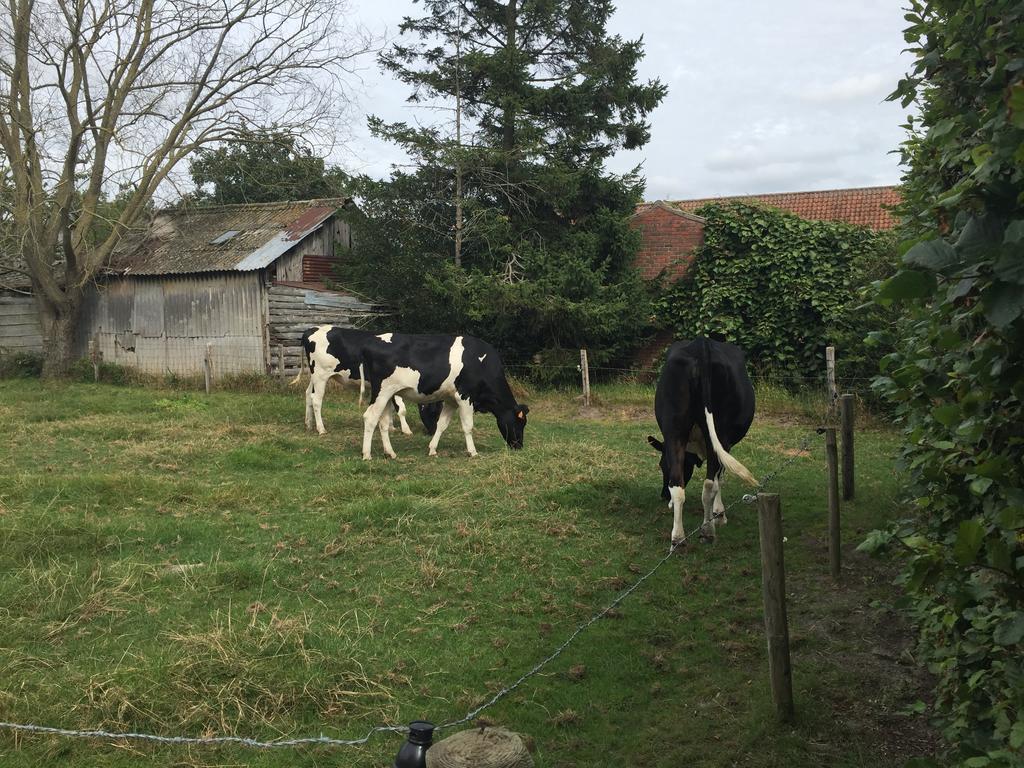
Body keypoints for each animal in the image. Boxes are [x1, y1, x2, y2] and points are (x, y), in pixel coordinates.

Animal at [356, 333, 528, 460]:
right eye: (520, 422)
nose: (519, 446)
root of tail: (369, 342)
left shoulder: (451, 400)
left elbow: (442, 424)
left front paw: (432, 449)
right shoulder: (465, 396)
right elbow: (468, 426)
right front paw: (472, 452)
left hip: (387, 395)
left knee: (383, 423)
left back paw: (390, 453)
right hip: (382, 391)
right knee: (370, 418)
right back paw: (367, 454)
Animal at [647, 337, 761, 548]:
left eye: (661, 465)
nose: (663, 496)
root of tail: (701, 344)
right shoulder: (725, 444)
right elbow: (719, 478)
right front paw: (719, 515)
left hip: (675, 430)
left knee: (678, 485)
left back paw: (678, 538)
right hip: (719, 433)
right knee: (709, 485)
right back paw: (707, 531)